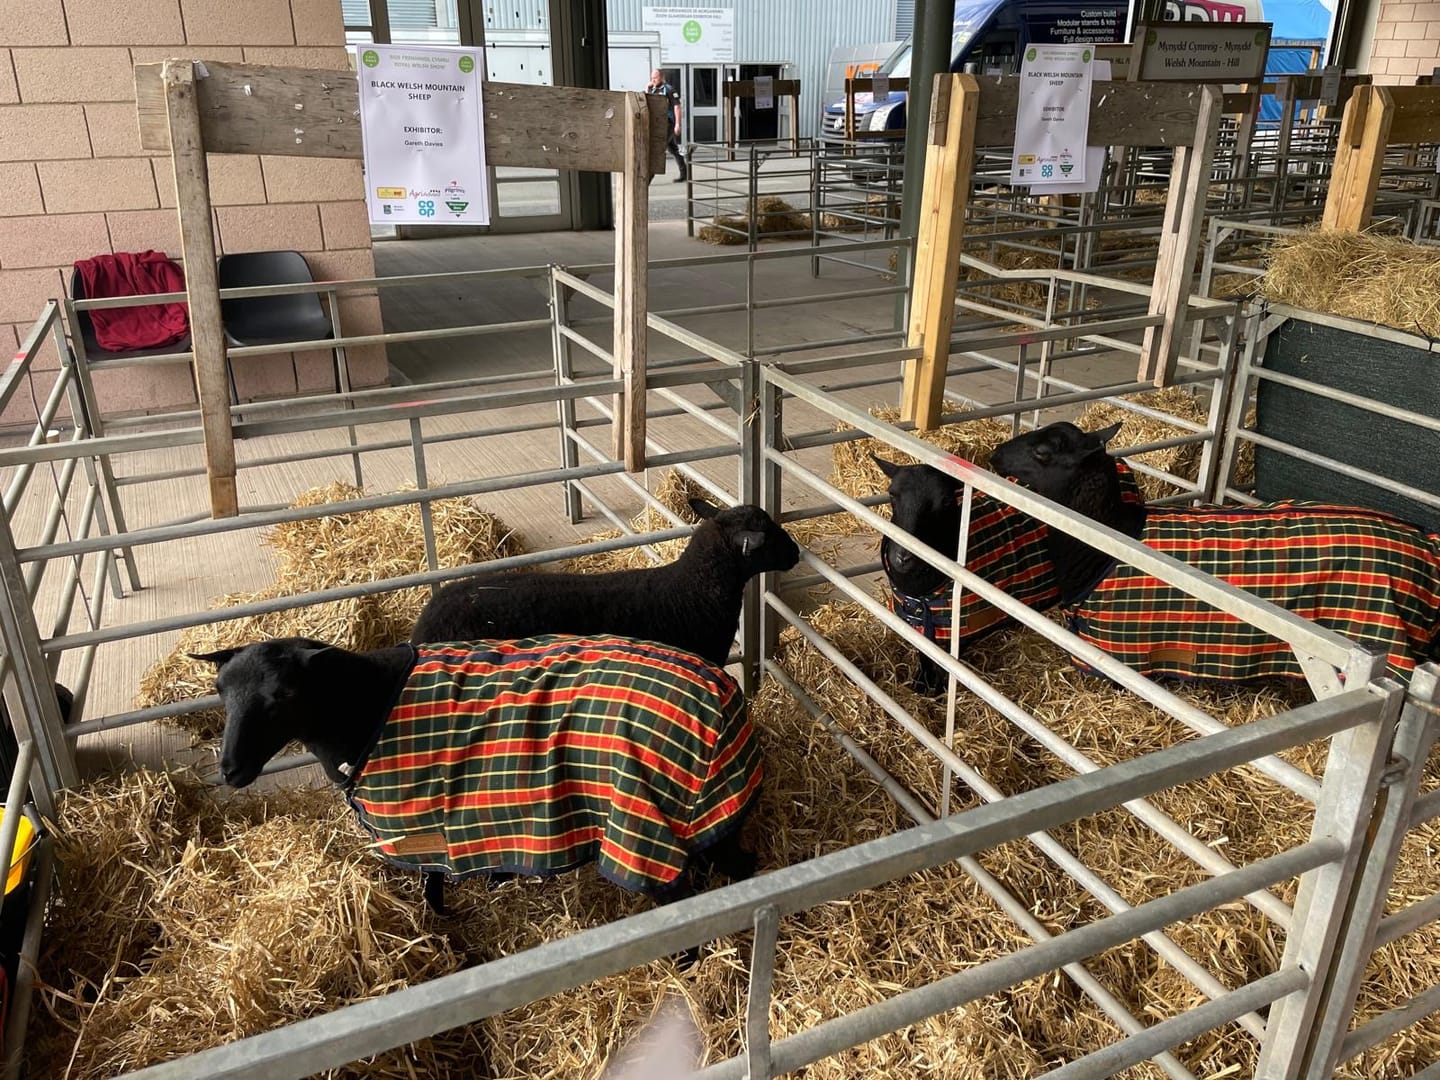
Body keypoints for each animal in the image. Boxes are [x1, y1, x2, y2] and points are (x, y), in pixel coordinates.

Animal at [195, 634, 763, 967]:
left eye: (284, 695)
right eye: (220, 690)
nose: (230, 770)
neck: (364, 709)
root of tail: (726, 703)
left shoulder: (422, 827)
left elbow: (433, 886)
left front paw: (443, 929)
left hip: (644, 819)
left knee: (682, 898)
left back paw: (683, 966)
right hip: (706, 811)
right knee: (739, 867)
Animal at [873, 445, 1144, 692]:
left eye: (947, 501)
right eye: (892, 494)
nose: (903, 556)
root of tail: (1118, 462)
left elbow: (942, 663)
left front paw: (936, 689)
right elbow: (924, 654)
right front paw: (921, 685)